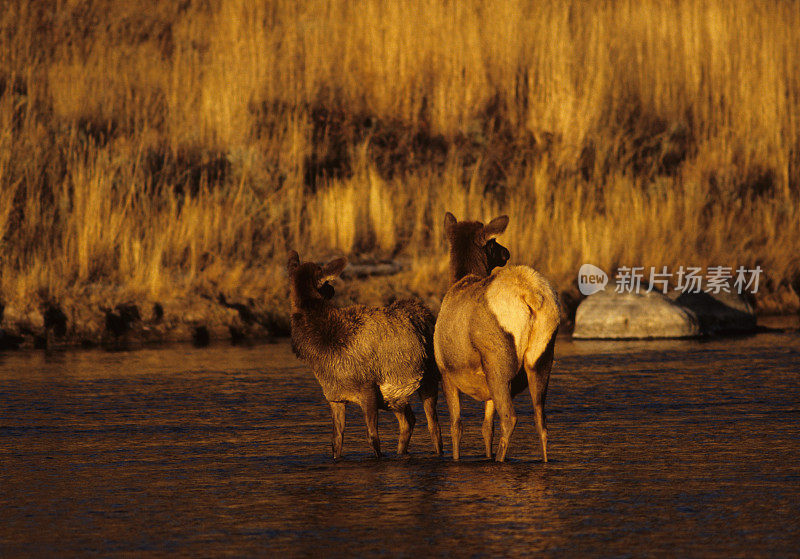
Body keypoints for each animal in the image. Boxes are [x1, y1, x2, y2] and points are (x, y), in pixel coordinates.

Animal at [286, 252, 440, 462]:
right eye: (326, 282)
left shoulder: (368, 390)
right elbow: (336, 441)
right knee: (409, 421)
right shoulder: (335, 397)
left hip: (428, 378)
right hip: (394, 397)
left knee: (433, 426)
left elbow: (372, 438)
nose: (332, 288)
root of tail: (427, 311)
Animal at [434, 212, 560, 462]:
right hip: (541, 357)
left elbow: (456, 425)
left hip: (498, 362)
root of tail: (530, 297)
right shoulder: (485, 387)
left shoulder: (445, 371)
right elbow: (486, 428)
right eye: (493, 243)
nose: (506, 252)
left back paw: (501, 460)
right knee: (541, 420)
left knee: (510, 418)